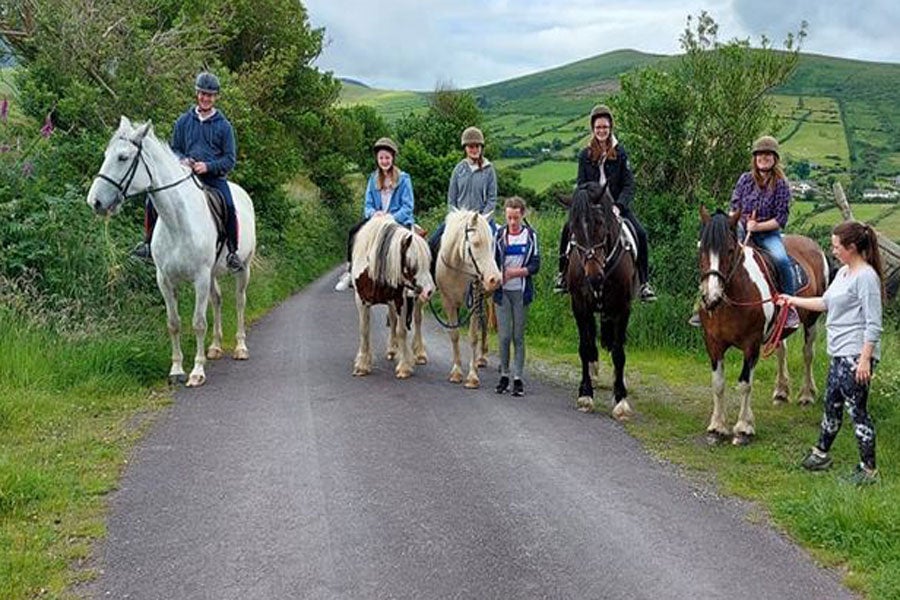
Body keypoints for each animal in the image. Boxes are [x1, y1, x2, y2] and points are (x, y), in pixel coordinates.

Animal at [87, 117, 256, 387]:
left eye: (123, 157)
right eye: (106, 155)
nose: (95, 202)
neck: (178, 221)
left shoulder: (199, 277)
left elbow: (198, 323)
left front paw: (197, 372)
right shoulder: (165, 280)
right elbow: (174, 323)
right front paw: (176, 370)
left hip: (243, 268)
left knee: (240, 301)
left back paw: (240, 348)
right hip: (212, 274)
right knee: (217, 300)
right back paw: (215, 347)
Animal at [350, 214, 435, 378]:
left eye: (428, 262)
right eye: (412, 264)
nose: (429, 291)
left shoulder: (400, 300)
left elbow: (402, 331)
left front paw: (404, 367)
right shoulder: (361, 301)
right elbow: (364, 330)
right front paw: (362, 365)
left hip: (415, 300)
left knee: (417, 320)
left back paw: (419, 353)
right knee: (393, 320)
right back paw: (391, 350)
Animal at [435, 210, 502, 388]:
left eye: (492, 243)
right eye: (476, 243)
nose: (495, 279)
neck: (458, 268)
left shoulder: (474, 302)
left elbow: (473, 337)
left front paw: (472, 376)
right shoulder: (449, 302)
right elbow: (454, 334)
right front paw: (457, 372)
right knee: (484, 319)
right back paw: (481, 358)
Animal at [562, 182, 638, 420]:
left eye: (600, 223)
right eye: (573, 228)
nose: (594, 277)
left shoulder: (622, 308)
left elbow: (619, 353)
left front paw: (620, 399)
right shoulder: (580, 306)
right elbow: (585, 347)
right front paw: (586, 394)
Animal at [698, 207, 828, 445]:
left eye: (730, 250)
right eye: (701, 248)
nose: (711, 297)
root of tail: (813, 245)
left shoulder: (751, 344)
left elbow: (745, 384)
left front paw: (743, 428)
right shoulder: (713, 343)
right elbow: (718, 383)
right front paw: (717, 426)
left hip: (812, 321)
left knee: (808, 354)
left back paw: (806, 395)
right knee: (781, 350)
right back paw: (781, 391)